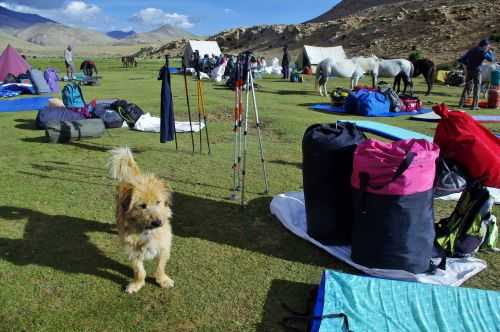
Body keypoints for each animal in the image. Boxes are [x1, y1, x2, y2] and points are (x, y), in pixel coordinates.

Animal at [107, 147, 174, 294]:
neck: (147, 230)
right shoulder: (132, 250)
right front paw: (137, 284)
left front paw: (163, 280)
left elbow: (160, 267)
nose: (158, 223)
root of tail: (136, 177)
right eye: (142, 206)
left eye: (158, 202)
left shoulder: (164, 246)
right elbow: (139, 271)